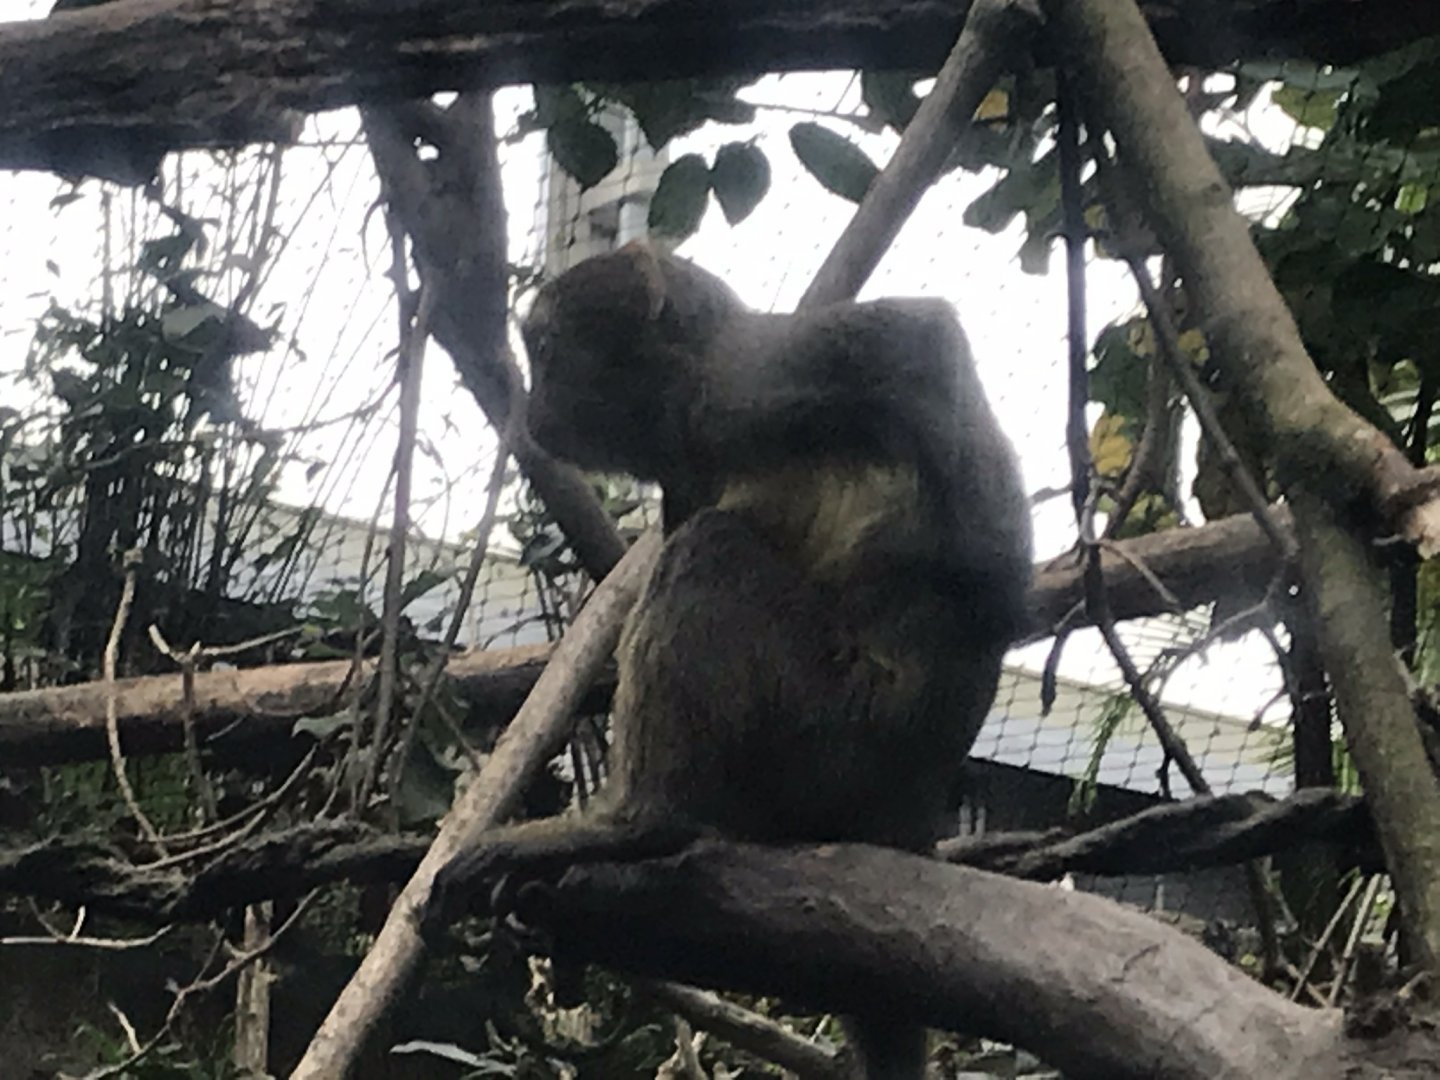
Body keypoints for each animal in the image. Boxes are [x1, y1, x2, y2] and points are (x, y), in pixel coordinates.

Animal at [435, 242, 1033, 1078]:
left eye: (546, 352)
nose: (533, 410)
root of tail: (907, 804)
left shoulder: (742, 384)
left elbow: (922, 338)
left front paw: (989, 581)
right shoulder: (688, 462)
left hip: (837, 733)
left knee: (711, 550)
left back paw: (640, 826)